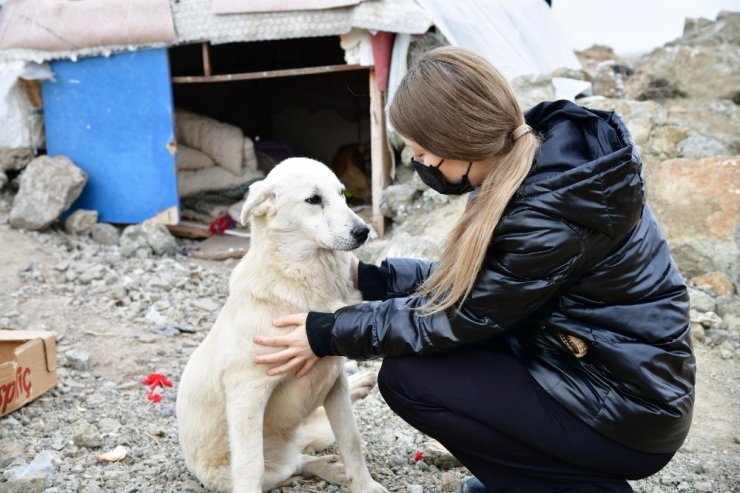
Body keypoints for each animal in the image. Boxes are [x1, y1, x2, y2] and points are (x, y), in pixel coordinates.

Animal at [176, 158, 388, 492]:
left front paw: (364, 485)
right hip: (258, 469)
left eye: (342, 194)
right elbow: (249, 466)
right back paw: (331, 468)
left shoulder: (334, 380)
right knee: (292, 465)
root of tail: (291, 446)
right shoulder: (247, 392)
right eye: (314, 199)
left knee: (307, 453)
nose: (364, 231)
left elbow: (351, 439)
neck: (303, 280)